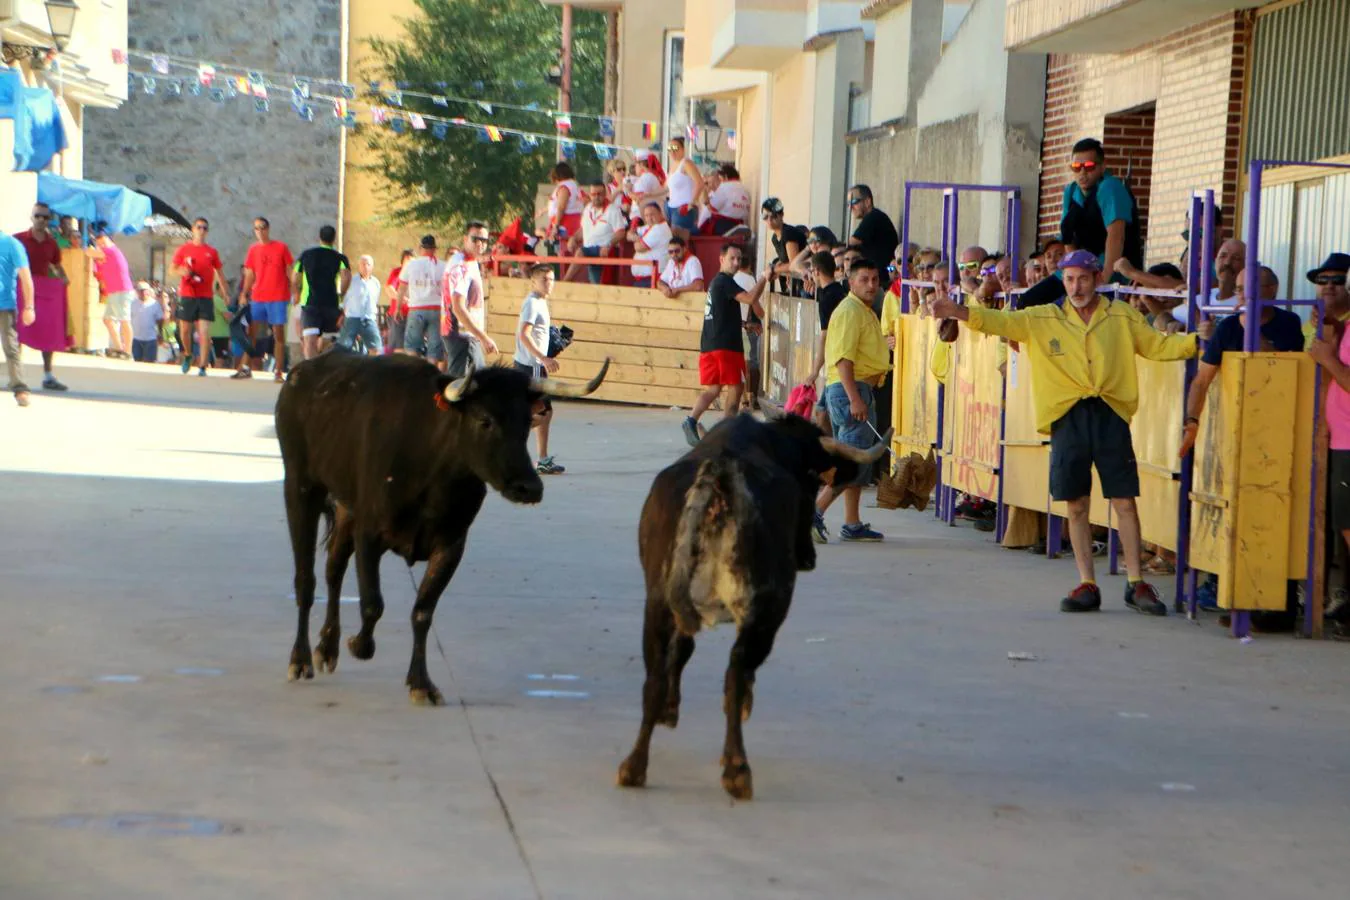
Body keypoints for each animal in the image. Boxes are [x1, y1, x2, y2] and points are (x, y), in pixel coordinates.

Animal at [274, 350, 612, 701]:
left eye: (526, 423)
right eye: (485, 420)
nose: (529, 488)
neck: (433, 470)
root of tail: (304, 370)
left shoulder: (451, 546)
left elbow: (422, 611)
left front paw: (421, 683)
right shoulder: (369, 533)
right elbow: (372, 604)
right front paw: (360, 644)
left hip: (344, 507)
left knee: (334, 568)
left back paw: (327, 648)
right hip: (300, 487)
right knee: (306, 579)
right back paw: (300, 659)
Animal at [618, 412, 891, 798]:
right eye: (811, 477)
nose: (808, 558)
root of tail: (719, 476)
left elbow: (681, 652)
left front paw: (670, 711)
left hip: (656, 603)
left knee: (654, 676)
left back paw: (634, 767)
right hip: (766, 609)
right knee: (736, 670)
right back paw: (736, 770)